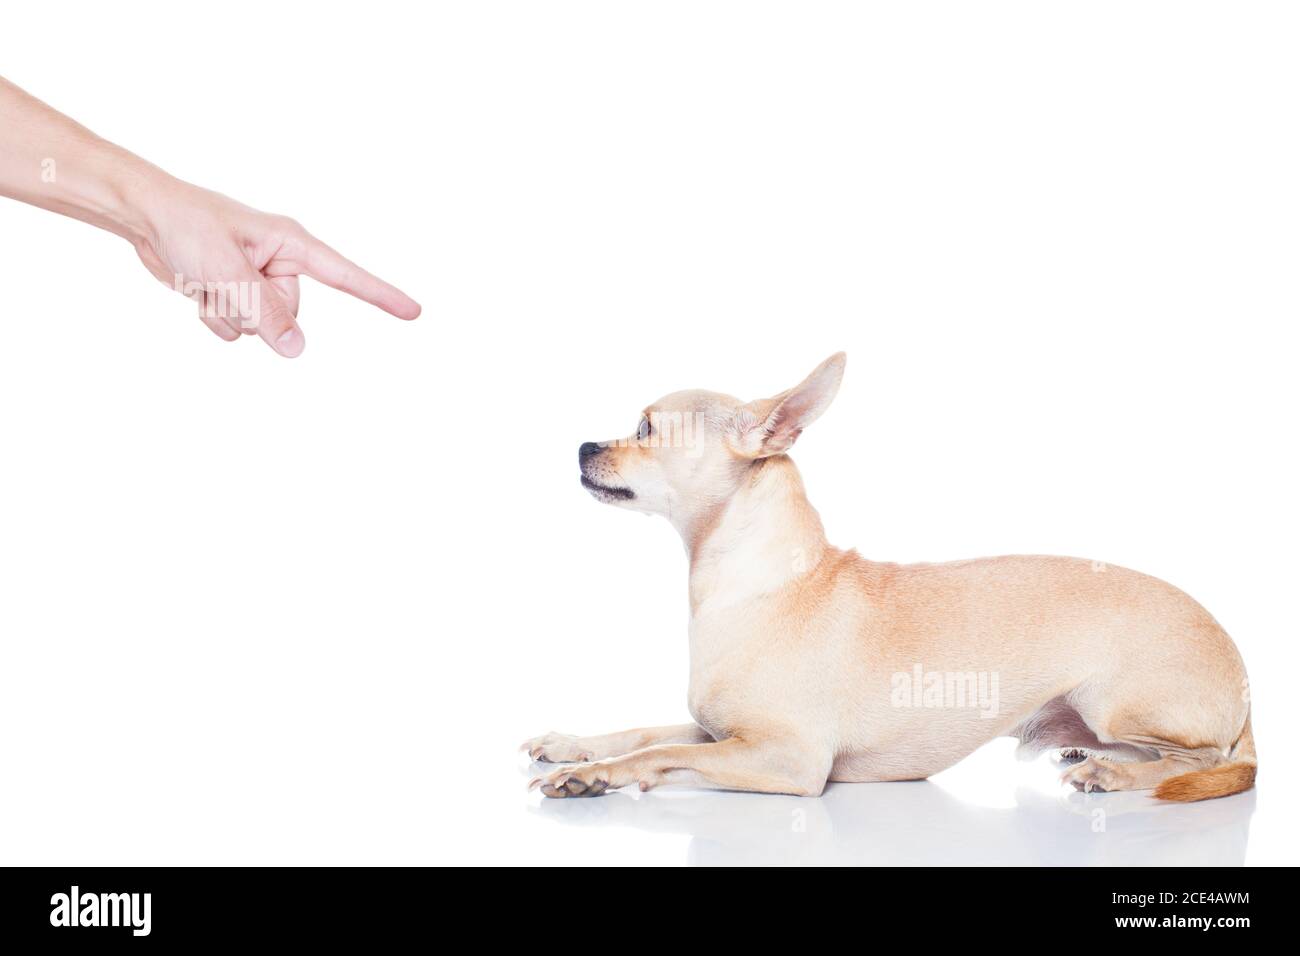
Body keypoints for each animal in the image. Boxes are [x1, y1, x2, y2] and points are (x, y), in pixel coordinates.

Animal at [522, 356, 1253, 806]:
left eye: (645, 429)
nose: (583, 445)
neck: (746, 583)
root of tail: (1243, 679)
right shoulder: (721, 732)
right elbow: (646, 731)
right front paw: (572, 748)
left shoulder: (786, 758)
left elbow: (660, 752)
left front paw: (594, 775)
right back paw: (1090, 757)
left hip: (1118, 704)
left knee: (1203, 762)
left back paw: (1112, 772)